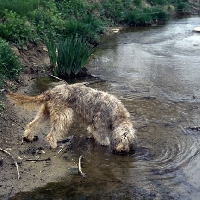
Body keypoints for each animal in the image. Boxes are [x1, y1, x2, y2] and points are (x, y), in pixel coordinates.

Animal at [5, 83, 137, 153]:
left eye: (128, 140)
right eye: (121, 139)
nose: (123, 150)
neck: (116, 113)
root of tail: (50, 91)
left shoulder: (93, 123)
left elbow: (92, 130)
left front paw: (92, 136)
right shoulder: (99, 124)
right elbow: (101, 135)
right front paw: (105, 142)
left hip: (45, 112)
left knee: (31, 124)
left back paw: (29, 137)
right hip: (64, 115)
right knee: (51, 134)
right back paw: (54, 144)